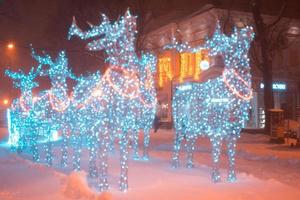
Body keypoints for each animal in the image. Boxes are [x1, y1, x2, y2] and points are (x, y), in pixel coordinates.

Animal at [171, 23, 253, 183]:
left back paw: (190, 165)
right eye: (233, 41)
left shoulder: (234, 129)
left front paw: (232, 178)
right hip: (179, 122)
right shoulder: (216, 127)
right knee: (177, 141)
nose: (248, 29)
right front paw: (216, 177)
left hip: (194, 125)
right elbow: (216, 152)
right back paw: (175, 164)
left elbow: (232, 154)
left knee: (190, 142)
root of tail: (177, 91)